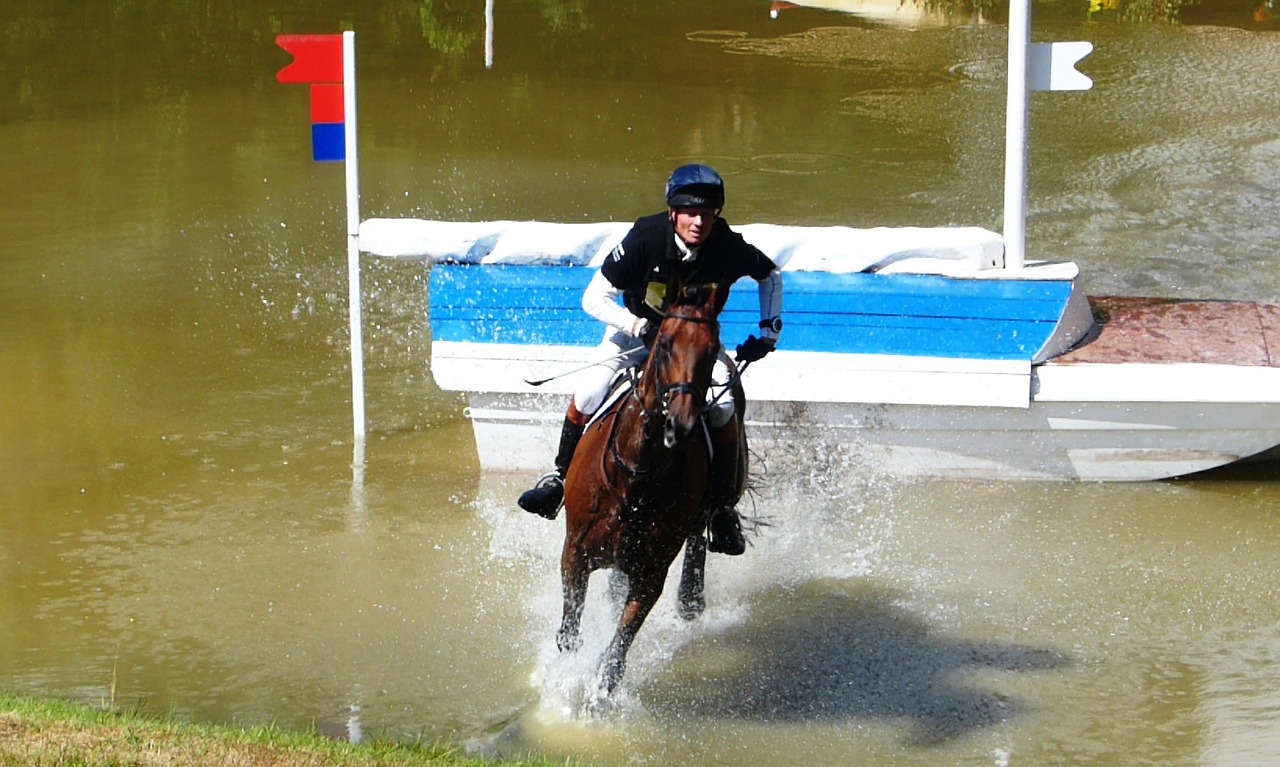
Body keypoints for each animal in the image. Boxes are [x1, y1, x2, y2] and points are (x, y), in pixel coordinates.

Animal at [555, 280, 747, 696]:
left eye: (711, 349)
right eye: (665, 344)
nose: (681, 424)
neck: (635, 478)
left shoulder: (650, 575)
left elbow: (616, 654)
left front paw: (597, 697)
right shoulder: (575, 553)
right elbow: (570, 632)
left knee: (700, 535)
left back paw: (692, 595)